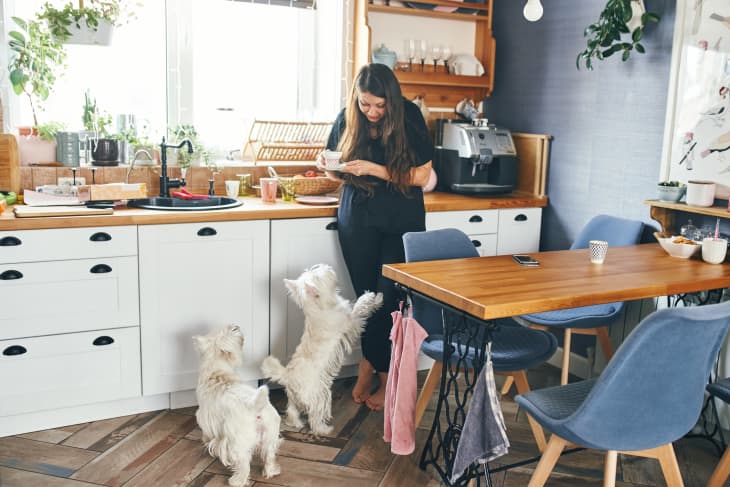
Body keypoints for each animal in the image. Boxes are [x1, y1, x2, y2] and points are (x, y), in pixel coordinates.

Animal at [193, 324, 282, 487]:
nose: (236, 326)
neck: (217, 371)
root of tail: (256, 408)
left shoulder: (203, 416)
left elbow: (207, 434)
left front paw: (205, 441)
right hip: (270, 436)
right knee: (269, 456)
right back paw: (271, 472)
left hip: (238, 443)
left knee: (244, 465)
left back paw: (236, 481)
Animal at [260, 264, 382, 436]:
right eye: (318, 275)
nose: (327, 266)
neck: (319, 307)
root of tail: (288, 376)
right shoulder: (349, 321)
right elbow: (359, 307)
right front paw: (371, 296)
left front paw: (377, 300)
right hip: (318, 395)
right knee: (315, 417)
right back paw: (324, 429)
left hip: (294, 398)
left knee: (292, 412)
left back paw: (295, 423)